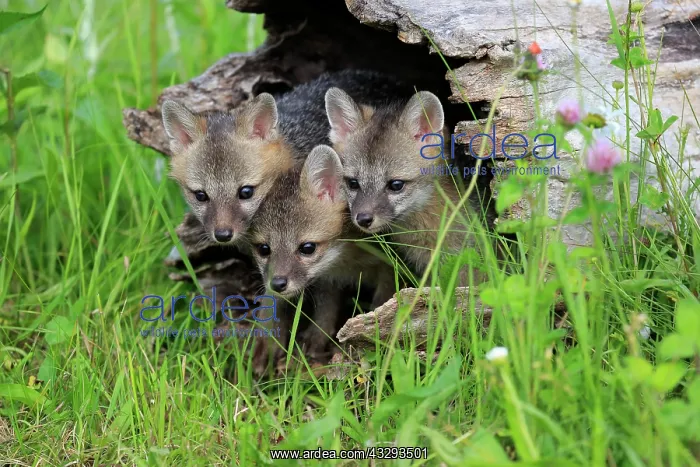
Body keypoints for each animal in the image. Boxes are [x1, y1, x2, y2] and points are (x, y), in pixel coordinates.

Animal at [248, 144, 396, 361]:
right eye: (264, 249)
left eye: (307, 248)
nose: (277, 284)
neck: (348, 261)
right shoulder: (328, 280)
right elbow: (325, 311)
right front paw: (316, 337)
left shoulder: (388, 269)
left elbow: (381, 303)